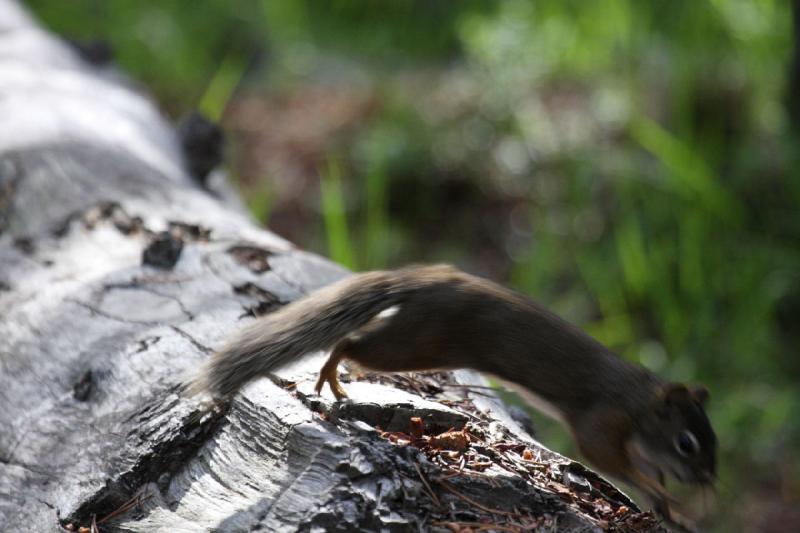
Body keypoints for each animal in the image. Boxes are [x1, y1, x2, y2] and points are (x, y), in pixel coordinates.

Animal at [192, 262, 720, 528]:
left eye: (713, 443)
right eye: (686, 443)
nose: (709, 482)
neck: (638, 404)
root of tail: (425, 280)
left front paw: (669, 503)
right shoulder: (601, 423)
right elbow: (609, 460)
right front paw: (660, 492)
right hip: (416, 343)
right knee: (352, 342)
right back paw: (332, 370)